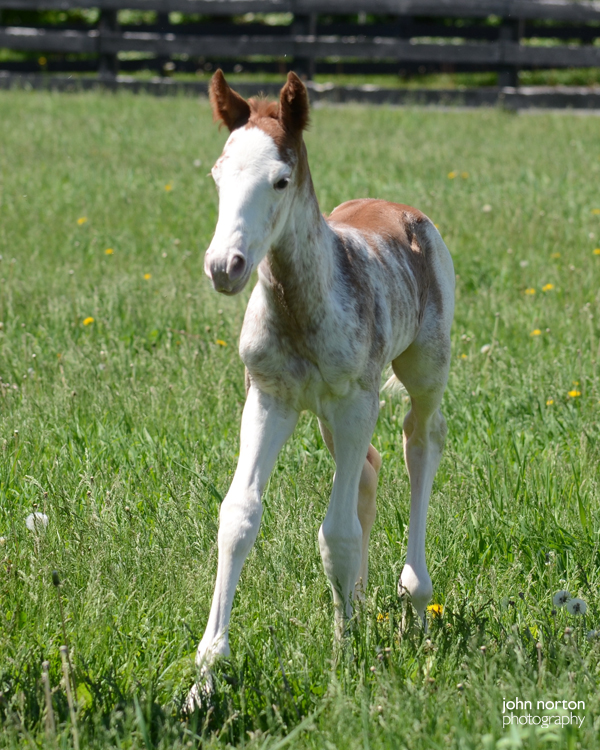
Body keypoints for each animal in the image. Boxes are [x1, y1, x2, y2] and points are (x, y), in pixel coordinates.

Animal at [192, 69, 454, 704]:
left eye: (280, 179)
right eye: (217, 174)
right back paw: (355, 605)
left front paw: (344, 664)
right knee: (370, 469)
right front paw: (203, 680)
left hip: (420, 370)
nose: (224, 267)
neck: (300, 307)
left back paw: (413, 600)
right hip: (333, 416)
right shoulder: (269, 397)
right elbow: (238, 517)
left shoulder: (356, 401)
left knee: (420, 442)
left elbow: (335, 534)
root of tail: (400, 208)